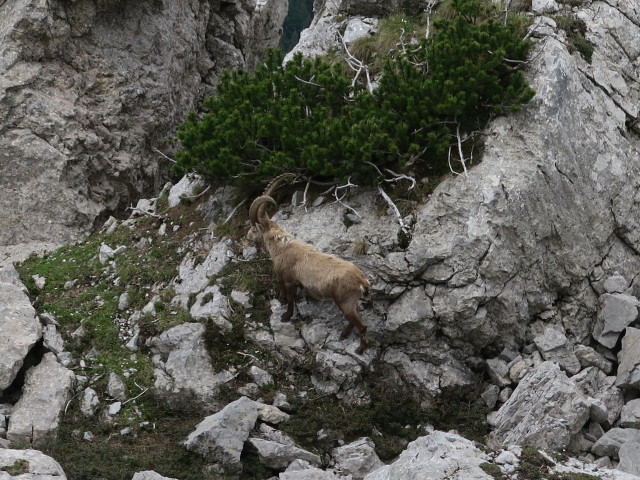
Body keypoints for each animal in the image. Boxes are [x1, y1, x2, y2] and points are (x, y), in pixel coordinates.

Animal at [249, 182, 372, 354]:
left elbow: (291, 298)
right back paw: (344, 334)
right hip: (350, 302)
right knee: (355, 318)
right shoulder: (284, 278)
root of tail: (362, 280)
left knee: (362, 325)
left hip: (345, 301)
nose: (247, 237)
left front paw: (286, 316)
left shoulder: (290, 280)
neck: (282, 247)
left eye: (254, 229)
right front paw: (281, 301)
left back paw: (360, 349)